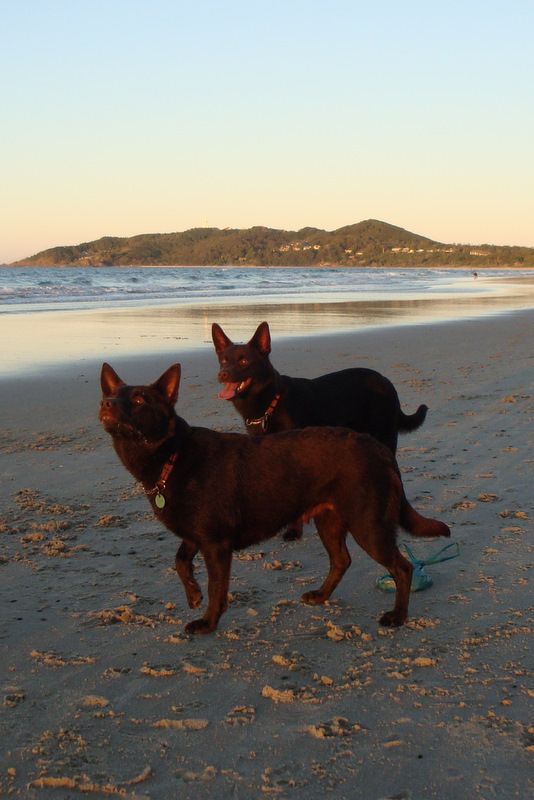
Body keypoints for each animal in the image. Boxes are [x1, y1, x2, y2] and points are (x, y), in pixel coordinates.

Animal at [99, 362, 450, 634]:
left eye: (140, 398)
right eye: (110, 395)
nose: (106, 405)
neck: (172, 454)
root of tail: (378, 449)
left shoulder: (215, 544)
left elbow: (217, 588)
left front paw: (208, 622)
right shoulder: (197, 535)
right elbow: (180, 561)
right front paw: (193, 594)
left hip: (368, 525)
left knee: (402, 568)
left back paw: (398, 617)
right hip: (329, 520)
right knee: (342, 560)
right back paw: (321, 596)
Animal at [212, 321, 428, 538]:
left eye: (244, 361)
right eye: (223, 360)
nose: (222, 374)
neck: (271, 402)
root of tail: (386, 381)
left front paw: (293, 530)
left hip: (385, 438)